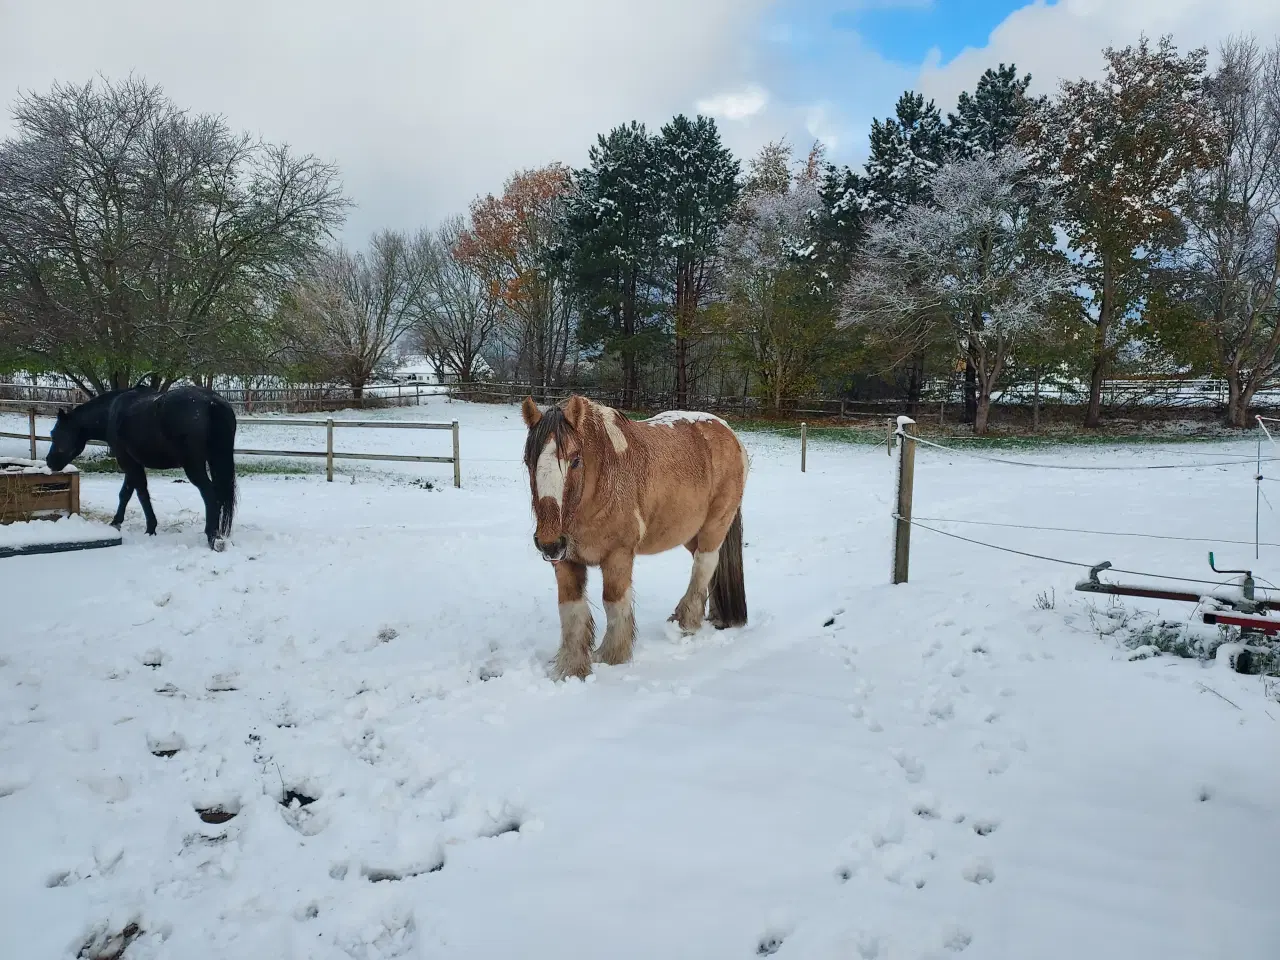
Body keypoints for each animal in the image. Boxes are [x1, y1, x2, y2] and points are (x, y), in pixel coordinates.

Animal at [45, 384, 240, 547]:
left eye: (54, 433)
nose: (50, 462)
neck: (111, 412)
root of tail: (211, 402)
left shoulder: (127, 461)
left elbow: (140, 493)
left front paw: (149, 527)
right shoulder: (133, 463)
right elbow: (126, 493)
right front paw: (117, 522)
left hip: (194, 466)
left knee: (210, 494)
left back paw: (213, 537)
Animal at [522, 394, 747, 680]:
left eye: (575, 460)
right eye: (528, 461)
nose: (549, 543)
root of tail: (728, 431)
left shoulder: (618, 555)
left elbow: (614, 602)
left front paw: (611, 656)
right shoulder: (566, 561)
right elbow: (571, 610)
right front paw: (572, 669)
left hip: (714, 526)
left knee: (703, 567)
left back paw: (686, 622)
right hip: (690, 534)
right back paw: (714, 618)